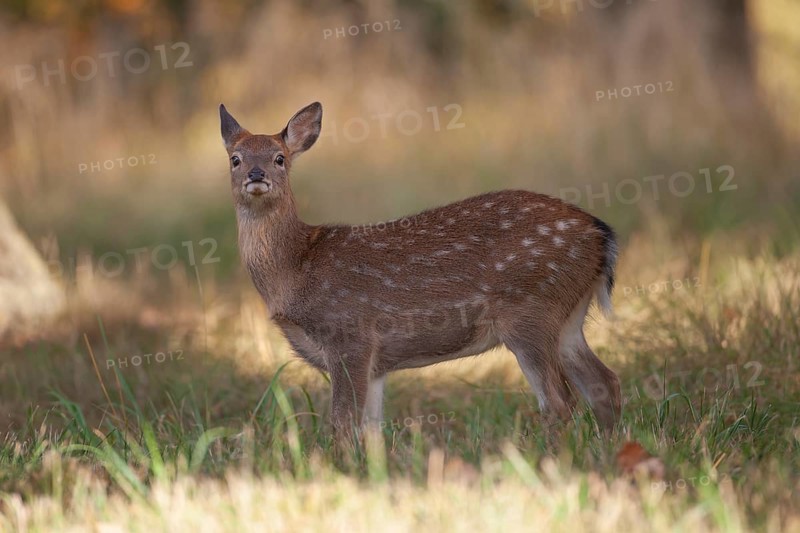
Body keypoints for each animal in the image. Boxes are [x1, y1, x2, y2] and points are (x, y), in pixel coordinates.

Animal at [219, 102, 622, 441]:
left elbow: (343, 423)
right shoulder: (376, 363)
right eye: (235, 158)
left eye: (280, 158)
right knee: (605, 383)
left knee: (560, 400)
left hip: (531, 310)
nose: (256, 174)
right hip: (567, 318)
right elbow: (372, 428)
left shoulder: (350, 335)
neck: (295, 269)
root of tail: (601, 234)